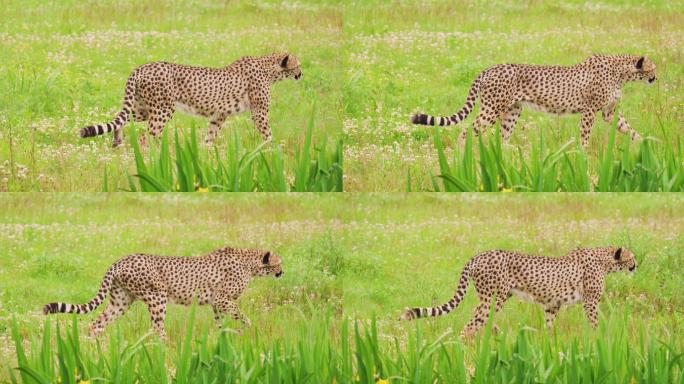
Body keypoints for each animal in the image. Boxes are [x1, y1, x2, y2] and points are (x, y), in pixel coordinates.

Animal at [42, 248, 284, 338]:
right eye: (278, 263)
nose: (282, 272)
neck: (250, 263)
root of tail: (120, 260)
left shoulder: (217, 304)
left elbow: (221, 323)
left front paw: (223, 339)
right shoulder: (222, 299)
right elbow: (243, 316)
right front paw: (247, 331)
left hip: (120, 301)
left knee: (97, 323)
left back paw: (93, 351)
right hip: (157, 297)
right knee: (156, 328)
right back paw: (168, 349)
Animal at [78, 51, 302, 146]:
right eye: (297, 65)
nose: (301, 74)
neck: (270, 69)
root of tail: (141, 67)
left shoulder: (219, 115)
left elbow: (210, 136)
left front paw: (206, 156)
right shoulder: (259, 113)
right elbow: (268, 134)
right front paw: (273, 152)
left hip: (145, 108)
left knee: (120, 119)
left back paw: (117, 142)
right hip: (162, 110)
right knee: (144, 137)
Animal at [400, 248, 636, 338]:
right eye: (631, 257)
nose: (636, 265)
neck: (604, 260)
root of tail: (478, 255)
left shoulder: (552, 305)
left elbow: (549, 325)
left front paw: (548, 343)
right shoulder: (590, 302)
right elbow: (595, 323)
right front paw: (599, 340)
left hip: (495, 296)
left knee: (479, 317)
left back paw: (496, 334)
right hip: (494, 297)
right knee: (472, 323)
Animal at [412, 54, 656, 148]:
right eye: (652, 68)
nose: (656, 78)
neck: (621, 72)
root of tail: (488, 69)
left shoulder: (608, 112)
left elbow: (630, 129)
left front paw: (649, 145)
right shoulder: (589, 111)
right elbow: (585, 137)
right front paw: (583, 156)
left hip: (512, 111)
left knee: (502, 138)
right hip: (492, 109)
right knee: (466, 130)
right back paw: (461, 159)